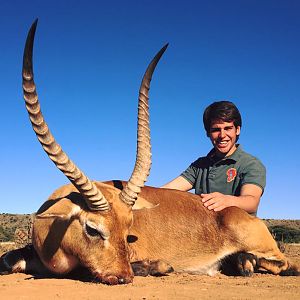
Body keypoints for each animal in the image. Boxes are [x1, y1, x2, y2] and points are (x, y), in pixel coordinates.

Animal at [0, 19, 298, 286]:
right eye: (92, 228)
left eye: (128, 228)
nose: (122, 277)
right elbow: (7, 260)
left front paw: (157, 266)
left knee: (284, 264)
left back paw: (246, 263)